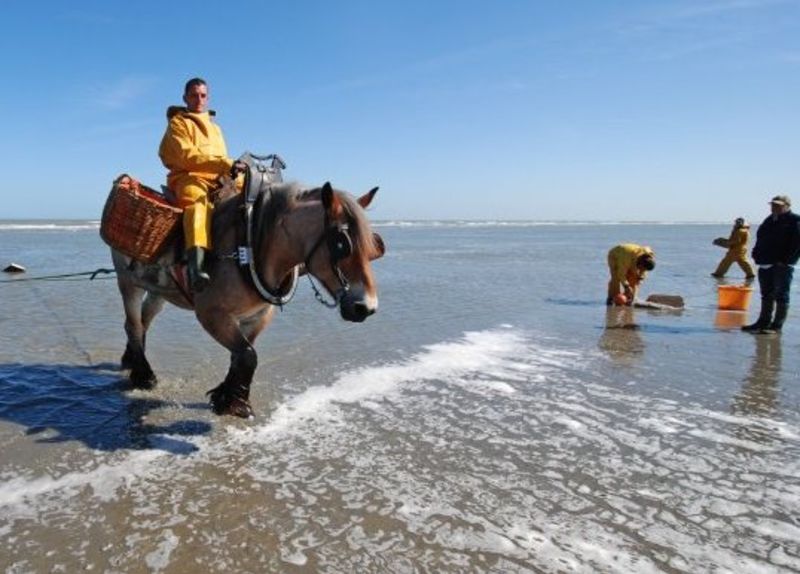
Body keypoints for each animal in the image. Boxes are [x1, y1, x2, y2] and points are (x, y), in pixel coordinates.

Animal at [111, 180, 384, 418]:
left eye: (373, 248)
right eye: (342, 245)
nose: (366, 307)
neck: (252, 249)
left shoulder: (258, 316)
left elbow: (241, 355)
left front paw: (226, 396)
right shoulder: (212, 315)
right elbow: (248, 355)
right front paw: (236, 403)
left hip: (159, 291)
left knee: (144, 321)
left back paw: (131, 359)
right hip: (128, 281)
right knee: (133, 324)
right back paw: (143, 374)